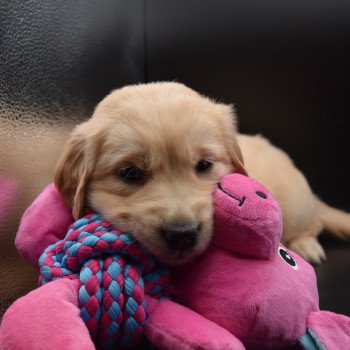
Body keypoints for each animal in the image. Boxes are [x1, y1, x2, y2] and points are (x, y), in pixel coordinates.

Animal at [54, 82, 350, 262]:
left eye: (204, 165)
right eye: (129, 173)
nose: (182, 234)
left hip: (296, 207)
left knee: (314, 222)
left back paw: (306, 245)